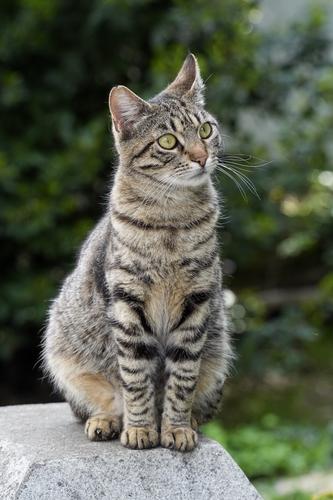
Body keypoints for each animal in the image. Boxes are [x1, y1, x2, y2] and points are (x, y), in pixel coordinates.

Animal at [42, 52, 232, 452]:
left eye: (205, 131)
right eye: (168, 141)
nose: (201, 157)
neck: (171, 221)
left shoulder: (196, 304)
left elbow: (181, 378)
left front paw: (175, 428)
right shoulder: (128, 303)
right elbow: (136, 377)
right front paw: (142, 428)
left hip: (218, 356)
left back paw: (190, 421)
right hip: (64, 355)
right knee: (100, 402)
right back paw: (107, 421)